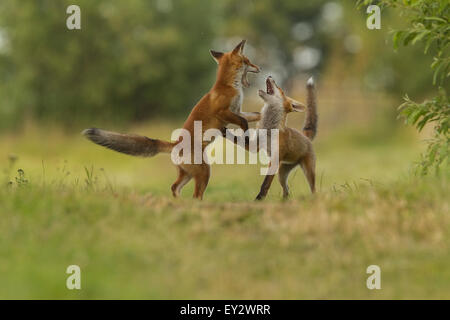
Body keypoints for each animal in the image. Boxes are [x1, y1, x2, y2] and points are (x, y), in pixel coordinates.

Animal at [83, 40, 260, 200]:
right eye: (248, 61)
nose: (259, 68)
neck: (228, 86)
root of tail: (174, 144)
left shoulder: (237, 111)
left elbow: (255, 114)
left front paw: (261, 117)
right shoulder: (223, 112)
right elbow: (243, 122)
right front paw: (247, 137)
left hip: (188, 174)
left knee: (174, 187)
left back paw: (179, 202)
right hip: (204, 171)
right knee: (196, 195)